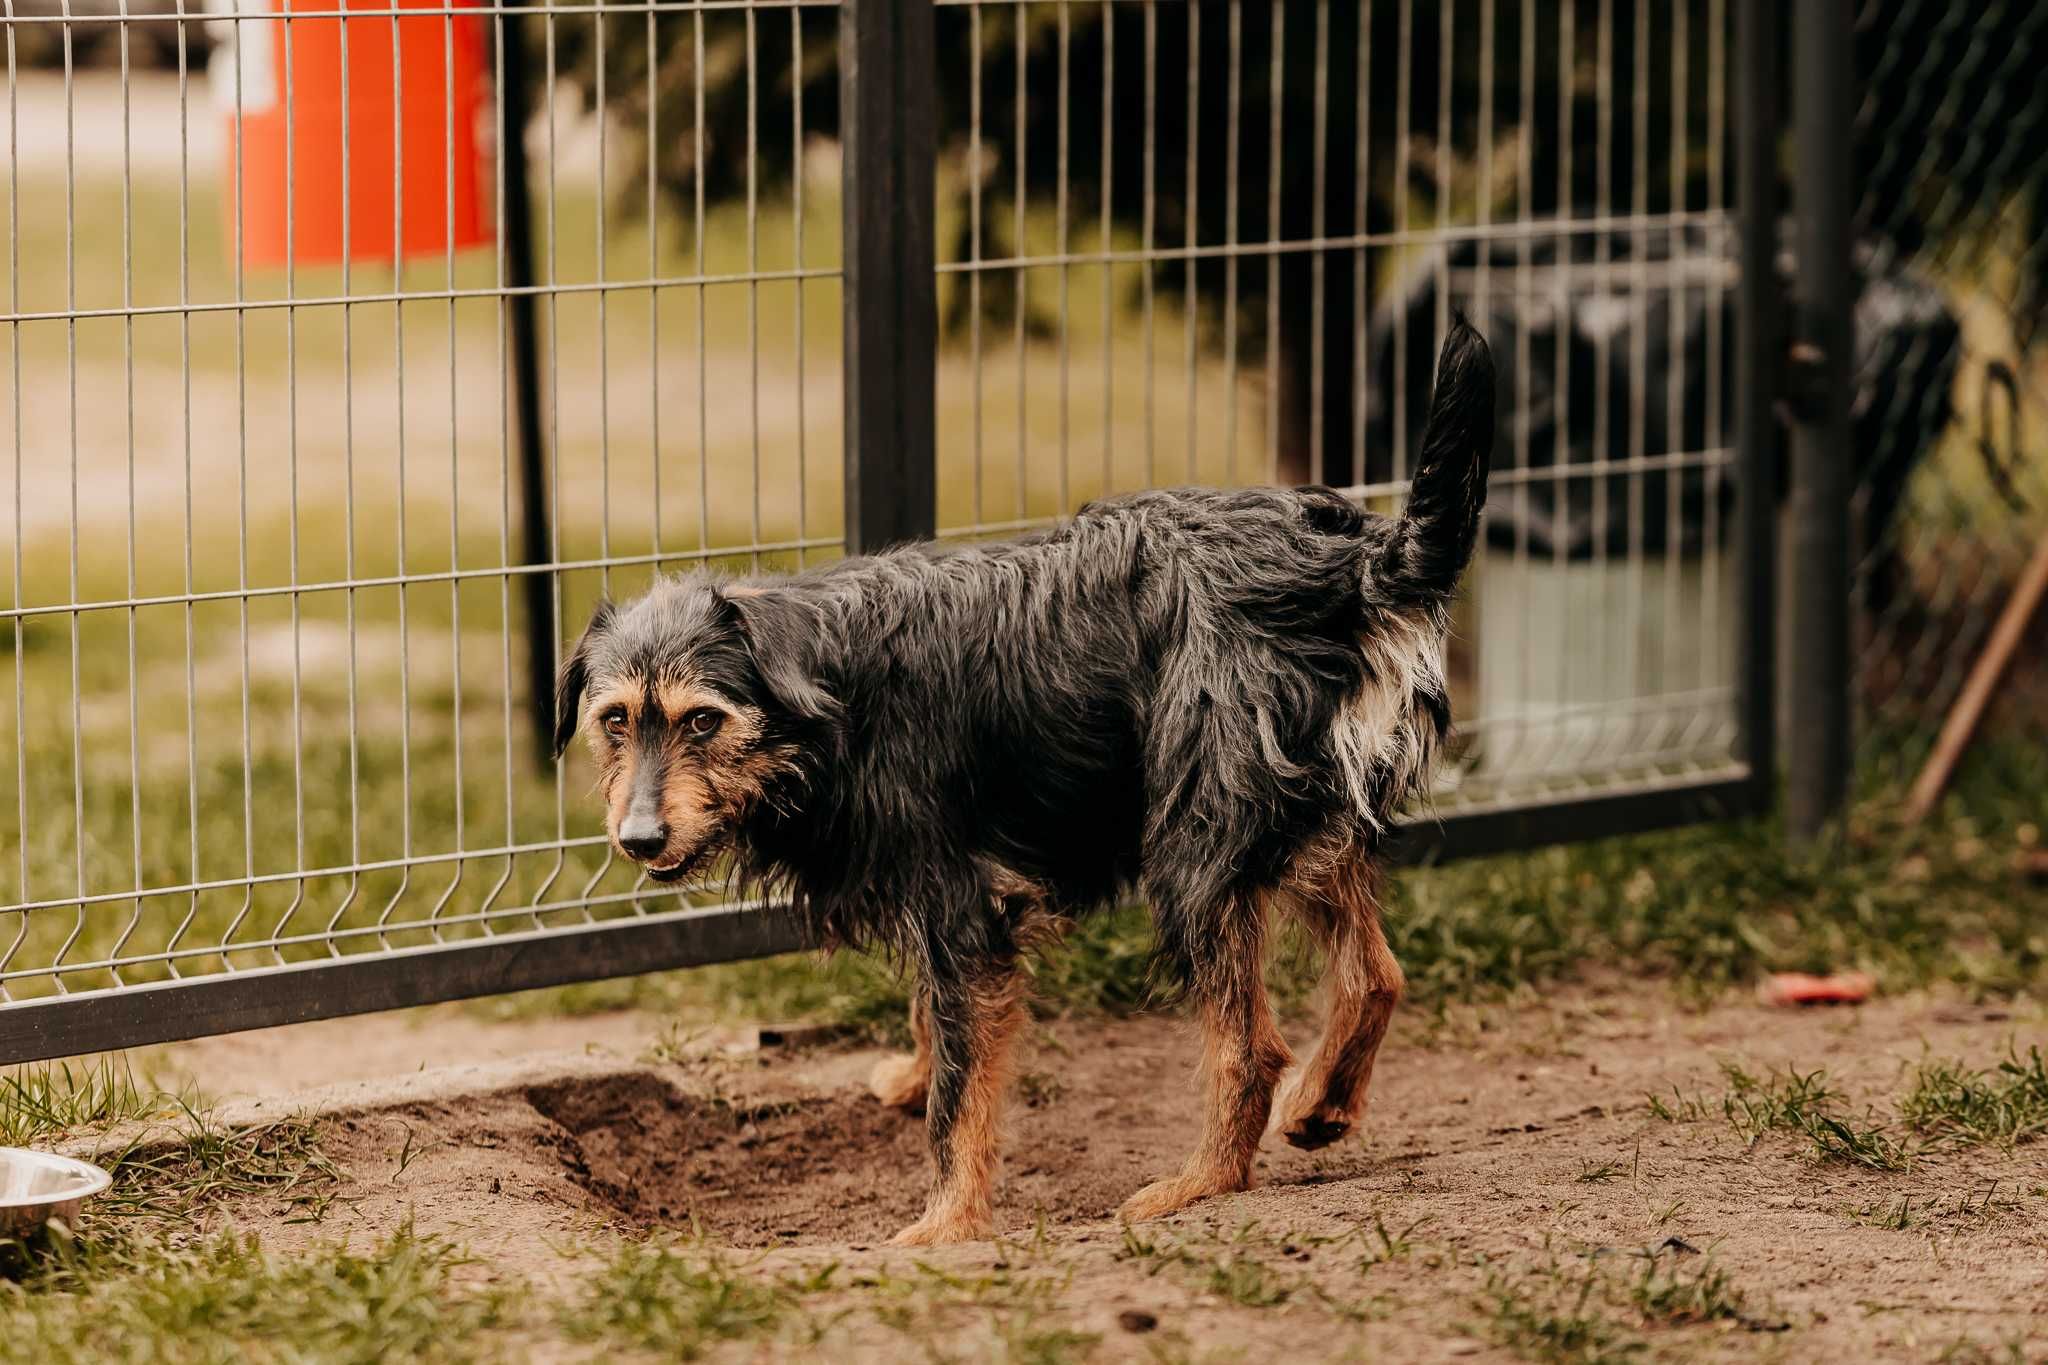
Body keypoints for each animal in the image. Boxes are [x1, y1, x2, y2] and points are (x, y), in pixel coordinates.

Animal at [552, 321, 1499, 1252]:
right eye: (614, 720)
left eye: (702, 721)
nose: (638, 838)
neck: (827, 694)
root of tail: (1351, 564)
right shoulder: (945, 906)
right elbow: (938, 1022)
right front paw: (913, 1076)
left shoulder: (963, 901)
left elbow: (961, 1094)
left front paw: (946, 1222)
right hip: (1306, 823)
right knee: (1375, 975)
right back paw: (1322, 1103)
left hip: (1193, 847)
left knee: (1251, 1045)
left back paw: (1201, 1180)